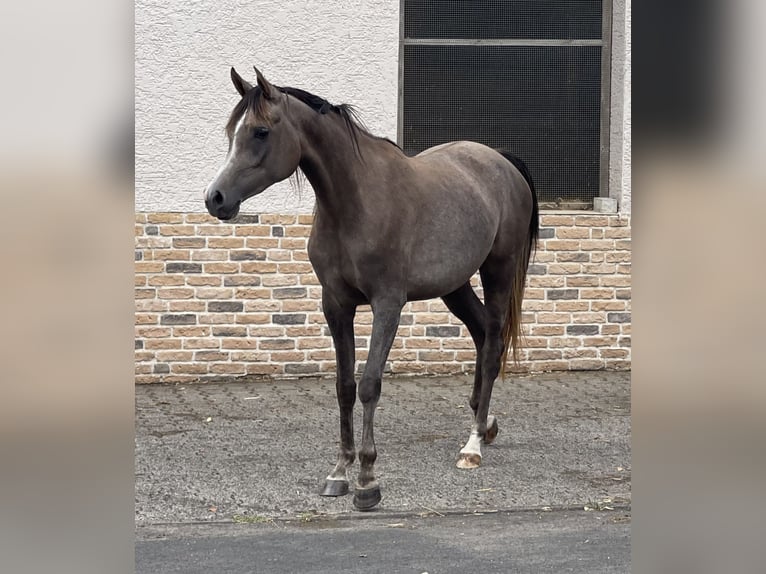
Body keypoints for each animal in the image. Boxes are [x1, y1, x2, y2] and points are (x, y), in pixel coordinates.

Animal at [204, 66, 539, 511]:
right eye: (232, 132)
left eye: (260, 131)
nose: (216, 198)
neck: (356, 203)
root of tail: (501, 160)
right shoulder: (336, 306)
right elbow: (344, 386)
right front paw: (339, 471)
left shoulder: (387, 305)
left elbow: (369, 385)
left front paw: (367, 479)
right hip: (455, 286)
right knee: (483, 334)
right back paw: (484, 426)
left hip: (497, 272)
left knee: (492, 345)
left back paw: (472, 446)